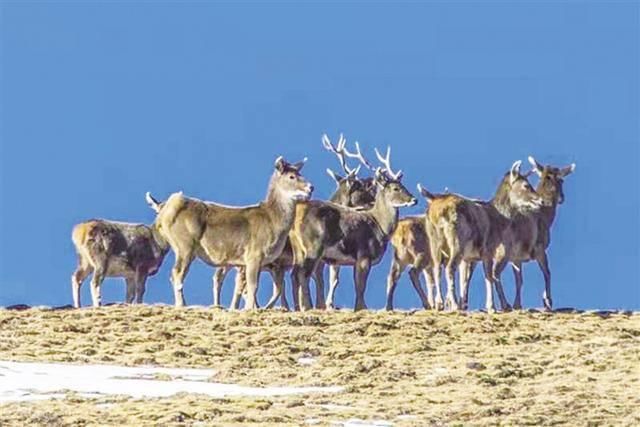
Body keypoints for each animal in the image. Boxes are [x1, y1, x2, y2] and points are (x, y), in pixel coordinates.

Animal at [146, 155, 316, 310]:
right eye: (292, 176)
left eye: (300, 173)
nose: (311, 187)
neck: (273, 222)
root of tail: (164, 214)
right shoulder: (254, 254)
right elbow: (253, 286)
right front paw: (249, 309)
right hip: (184, 245)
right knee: (177, 273)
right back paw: (182, 304)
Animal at [420, 162, 544, 312]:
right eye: (526, 185)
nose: (541, 201)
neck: (499, 219)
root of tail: (436, 211)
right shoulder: (488, 250)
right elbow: (489, 276)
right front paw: (491, 307)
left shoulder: (470, 257)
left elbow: (467, 279)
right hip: (456, 242)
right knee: (449, 268)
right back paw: (453, 305)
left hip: (435, 241)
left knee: (437, 268)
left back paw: (439, 304)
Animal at [500, 157, 580, 310]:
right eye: (562, 180)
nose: (562, 198)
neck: (545, 215)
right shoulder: (539, 248)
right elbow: (547, 272)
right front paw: (548, 301)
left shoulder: (516, 258)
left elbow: (519, 280)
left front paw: (517, 304)